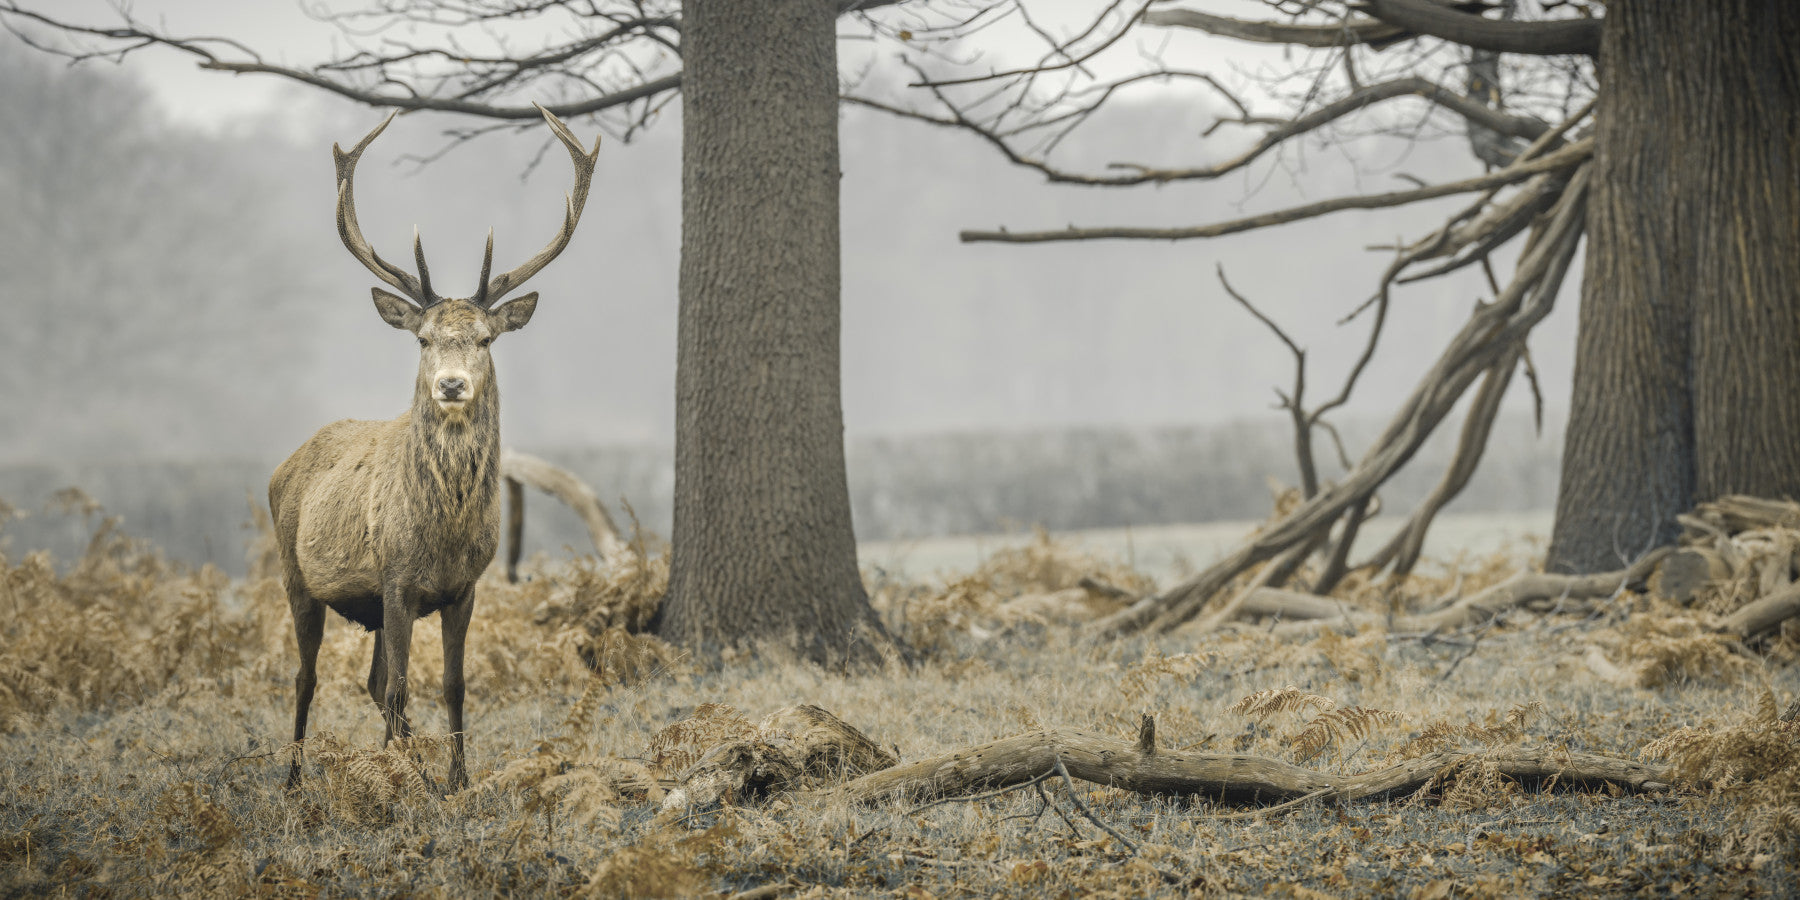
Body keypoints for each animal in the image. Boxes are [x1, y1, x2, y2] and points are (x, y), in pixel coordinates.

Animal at [271, 105, 597, 791]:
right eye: (422, 339)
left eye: (486, 339)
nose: (451, 384)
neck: (441, 534)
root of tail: (284, 466)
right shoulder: (396, 578)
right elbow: (401, 686)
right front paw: (400, 783)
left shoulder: (463, 587)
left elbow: (452, 684)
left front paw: (455, 781)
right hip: (295, 572)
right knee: (308, 677)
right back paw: (292, 780)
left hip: (366, 602)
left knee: (371, 681)